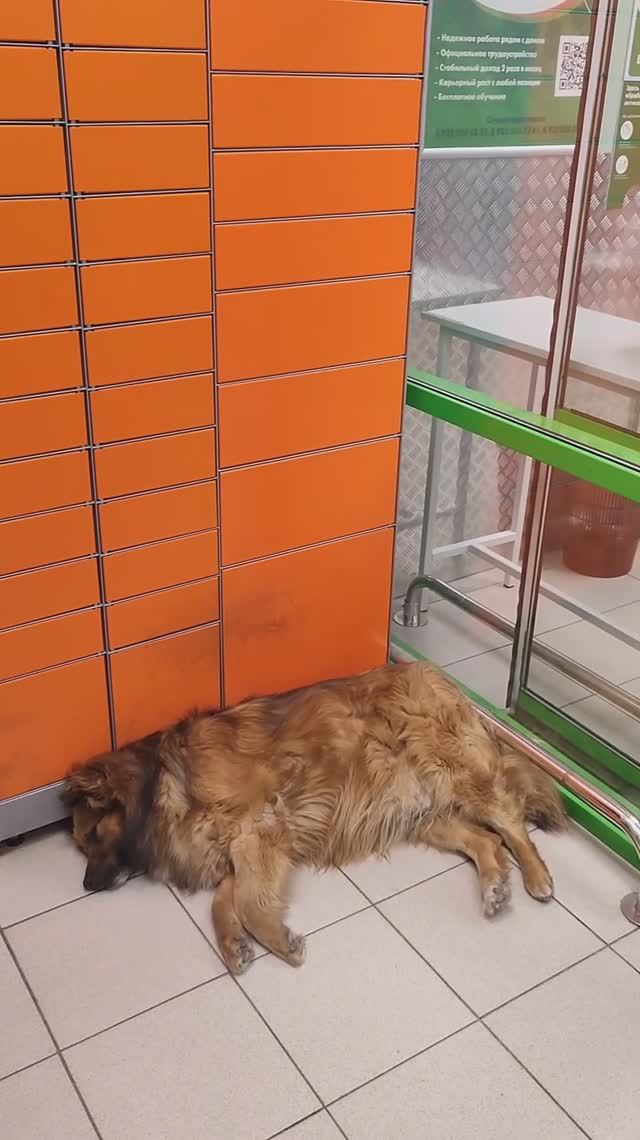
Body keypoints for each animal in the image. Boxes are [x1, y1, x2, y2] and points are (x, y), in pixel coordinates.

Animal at [64, 661, 565, 973]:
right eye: (82, 845)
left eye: (93, 835)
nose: (86, 886)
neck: (164, 784)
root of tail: (436, 675)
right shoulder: (239, 854)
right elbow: (223, 904)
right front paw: (234, 947)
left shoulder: (260, 831)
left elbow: (247, 904)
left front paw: (279, 943)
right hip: (422, 811)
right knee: (487, 840)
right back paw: (495, 887)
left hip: (456, 772)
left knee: (511, 823)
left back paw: (537, 877)